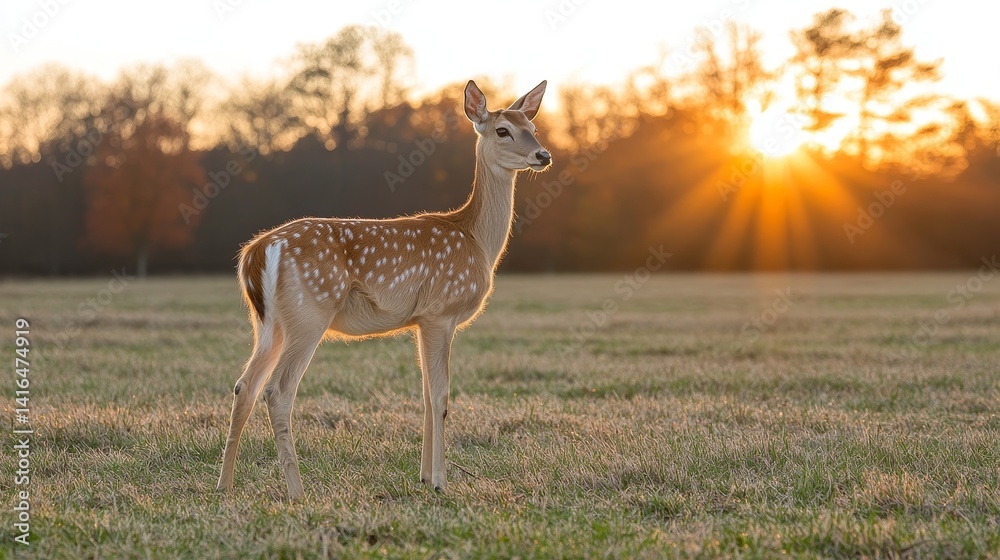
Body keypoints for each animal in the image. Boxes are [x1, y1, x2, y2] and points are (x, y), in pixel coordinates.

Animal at [216, 80, 551, 499]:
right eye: (503, 130)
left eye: (533, 128)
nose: (544, 154)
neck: (475, 238)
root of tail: (256, 251)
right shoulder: (441, 313)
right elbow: (441, 397)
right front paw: (441, 482)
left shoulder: (421, 320)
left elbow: (425, 395)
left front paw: (424, 477)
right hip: (309, 313)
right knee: (277, 391)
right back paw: (297, 491)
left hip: (267, 323)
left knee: (244, 385)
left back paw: (224, 486)